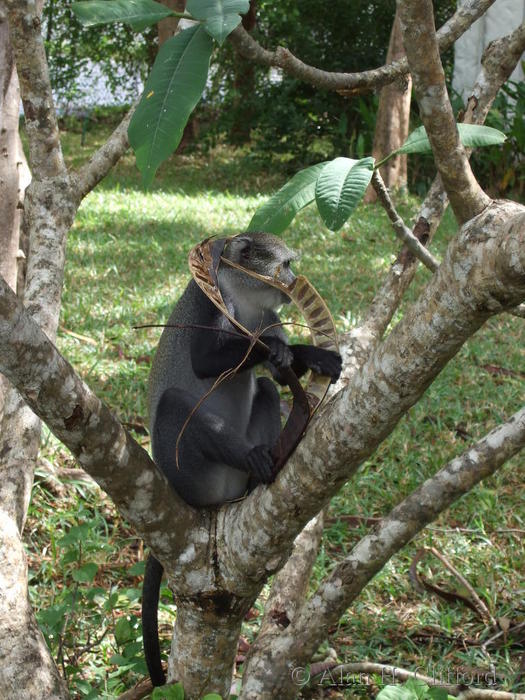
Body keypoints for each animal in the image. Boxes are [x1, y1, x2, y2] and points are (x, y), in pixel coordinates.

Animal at [141, 232, 342, 688]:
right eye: (285, 264)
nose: (292, 280)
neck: (243, 299)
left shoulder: (268, 314)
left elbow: (279, 377)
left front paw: (306, 357)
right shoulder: (211, 305)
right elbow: (205, 360)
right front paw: (286, 349)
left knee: (266, 389)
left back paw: (262, 470)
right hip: (188, 472)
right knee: (174, 404)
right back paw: (253, 459)